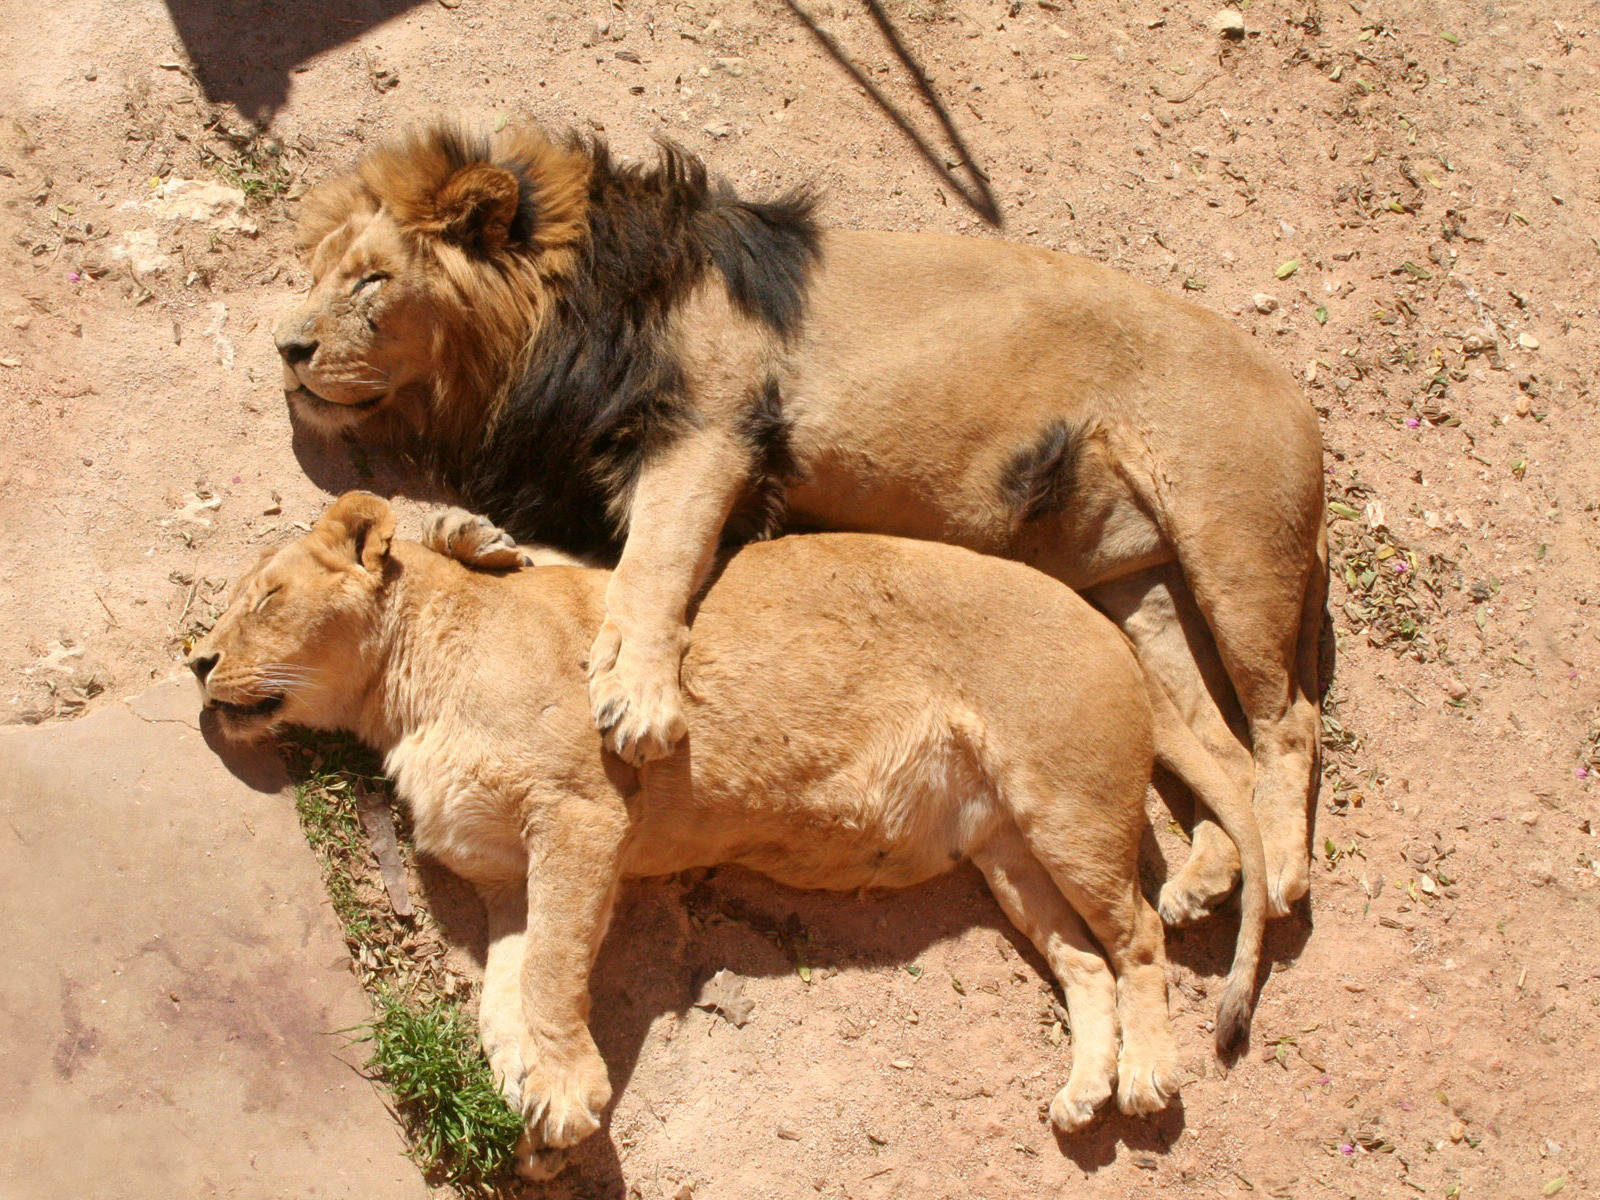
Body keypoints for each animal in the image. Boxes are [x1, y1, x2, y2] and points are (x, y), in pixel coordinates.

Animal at [190, 492, 1260, 1177]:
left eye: (265, 600)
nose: (196, 660)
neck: (401, 698)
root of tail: (1112, 628)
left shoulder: (581, 816)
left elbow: (551, 970)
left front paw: (566, 1094)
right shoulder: (503, 875)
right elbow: (502, 992)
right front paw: (527, 1107)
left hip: (1068, 807)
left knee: (1140, 936)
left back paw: (1147, 1075)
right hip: (1006, 855)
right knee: (1084, 961)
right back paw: (1084, 1090)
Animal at [275, 127, 1324, 921]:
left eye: (371, 281)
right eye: (316, 274)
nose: (286, 346)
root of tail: (1297, 393)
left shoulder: (713, 431)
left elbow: (652, 566)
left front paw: (639, 698)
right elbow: (583, 567)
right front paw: (474, 538)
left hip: (1235, 551)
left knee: (1289, 722)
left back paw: (1279, 875)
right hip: (1135, 592)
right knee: (1220, 747)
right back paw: (1210, 877)